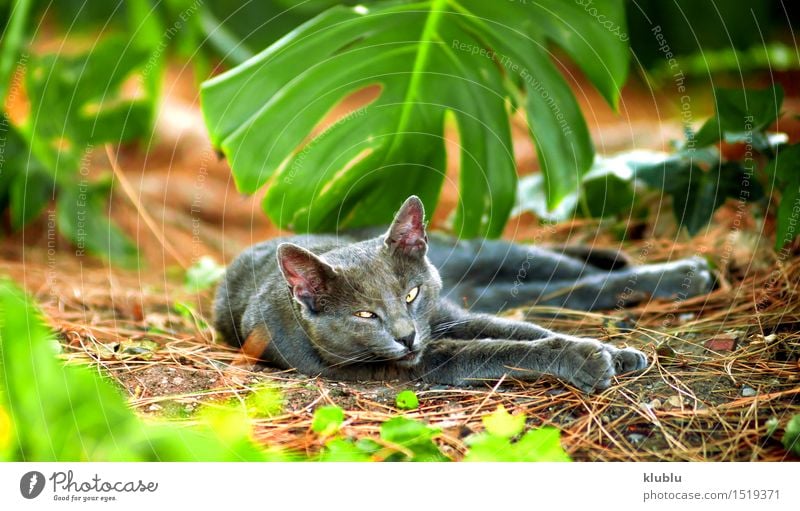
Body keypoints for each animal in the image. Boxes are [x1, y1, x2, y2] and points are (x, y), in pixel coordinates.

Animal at [212, 196, 712, 392]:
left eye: (411, 294)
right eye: (364, 316)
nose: (406, 336)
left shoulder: (449, 316)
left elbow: (518, 332)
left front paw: (614, 352)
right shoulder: (415, 364)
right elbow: (493, 349)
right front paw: (588, 358)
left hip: (484, 257)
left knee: (572, 274)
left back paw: (680, 271)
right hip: (485, 289)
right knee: (564, 291)